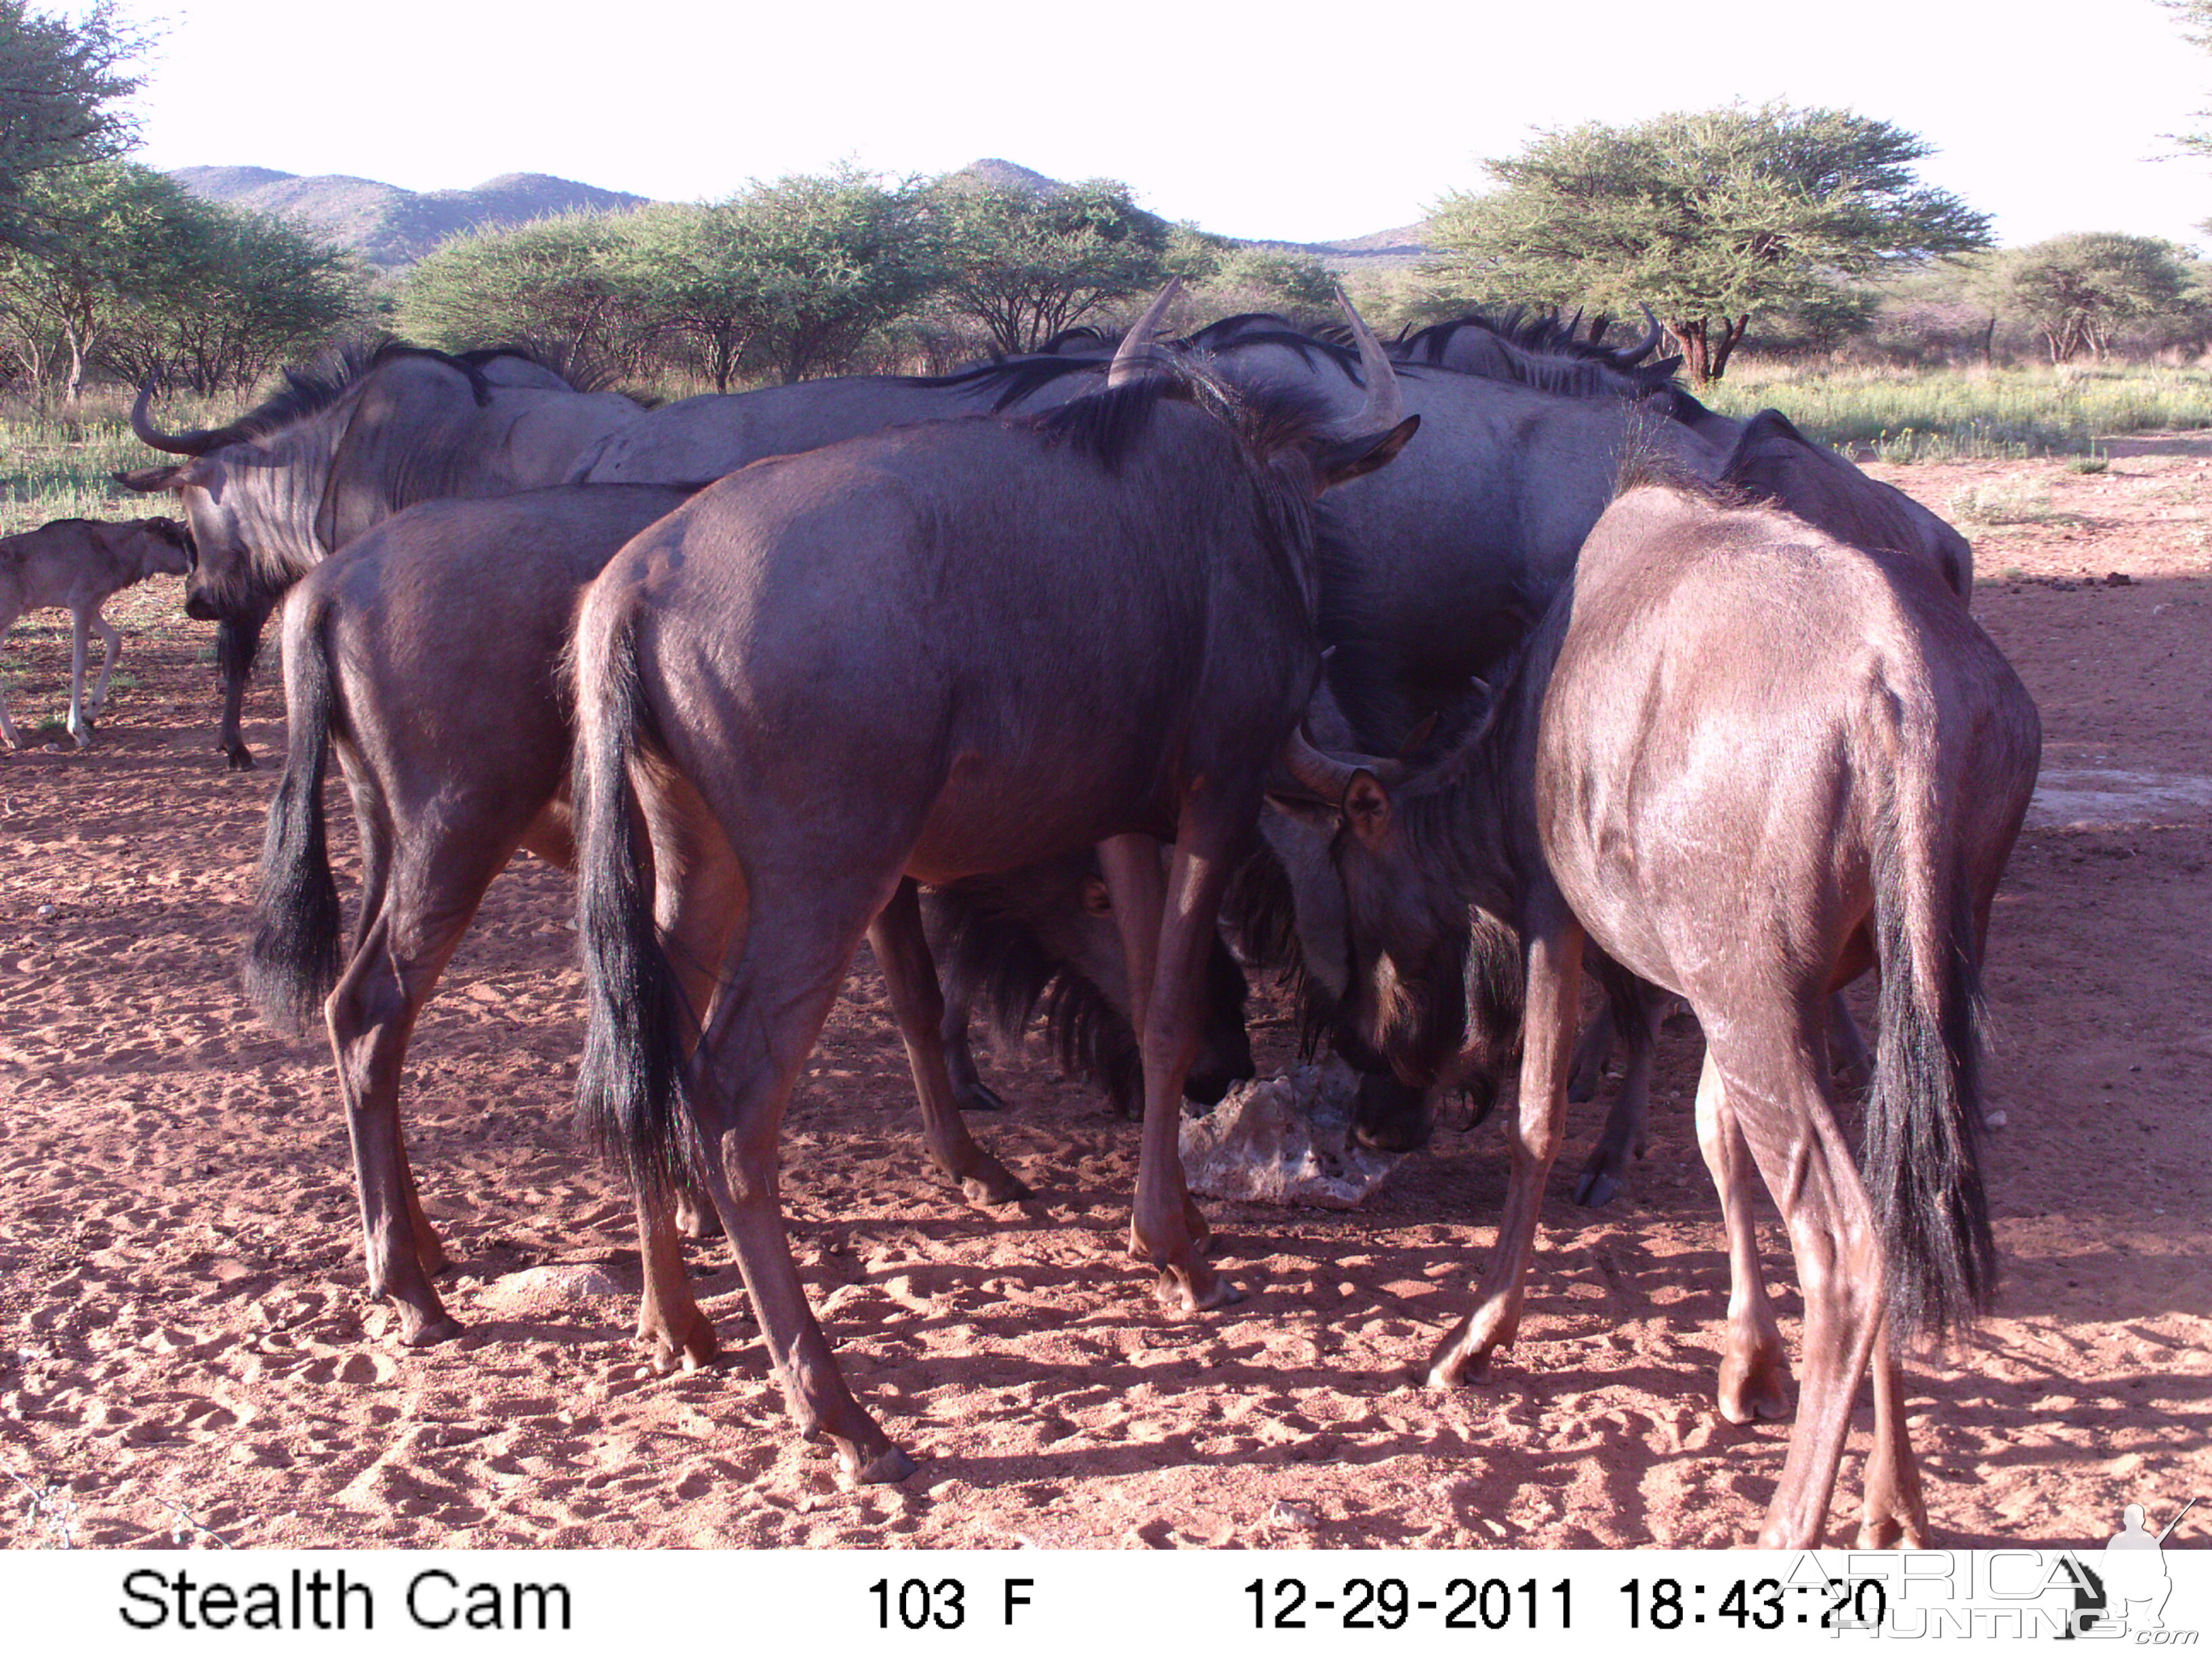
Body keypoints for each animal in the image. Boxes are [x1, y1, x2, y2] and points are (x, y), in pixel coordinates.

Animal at [0, 517, 192, 752]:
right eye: (170, 538)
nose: (191, 564)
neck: (111, 549)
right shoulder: (80, 604)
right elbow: (80, 663)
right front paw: (77, 731)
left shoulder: (93, 608)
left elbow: (115, 642)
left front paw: (90, 714)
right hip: (7, 616)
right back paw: (12, 735)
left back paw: (11, 737)